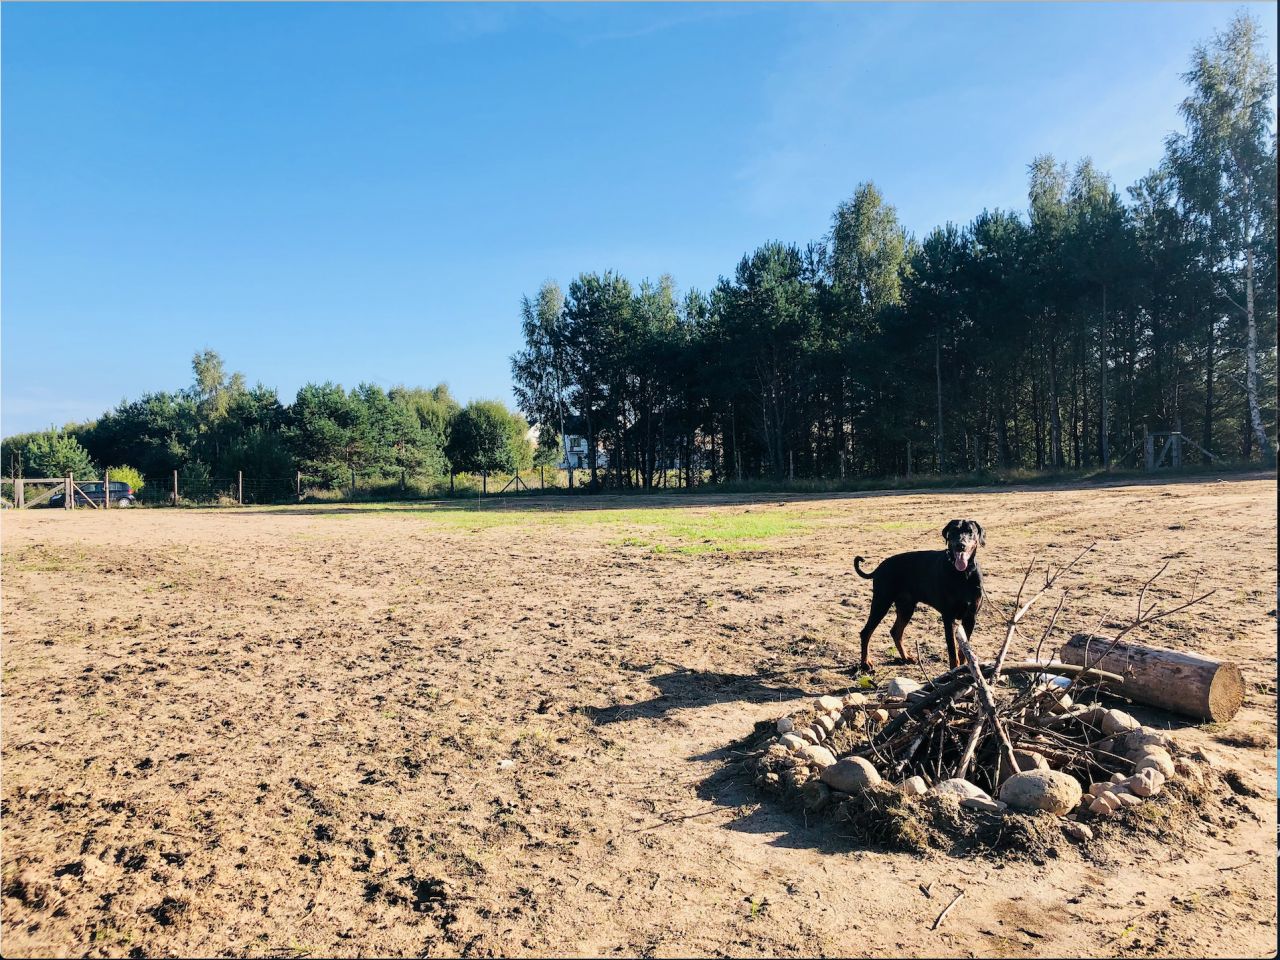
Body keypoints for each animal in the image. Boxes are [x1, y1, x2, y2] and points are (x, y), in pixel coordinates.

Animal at [855, 522, 983, 670]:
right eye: (953, 531)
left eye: (970, 531)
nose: (960, 545)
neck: (963, 575)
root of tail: (879, 568)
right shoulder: (948, 617)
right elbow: (952, 649)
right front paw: (954, 669)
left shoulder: (970, 617)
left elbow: (964, 650)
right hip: (881, 602)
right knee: (866, 632)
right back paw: (865, 662)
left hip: (906, 607)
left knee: (895, 632)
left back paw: (906, 657)